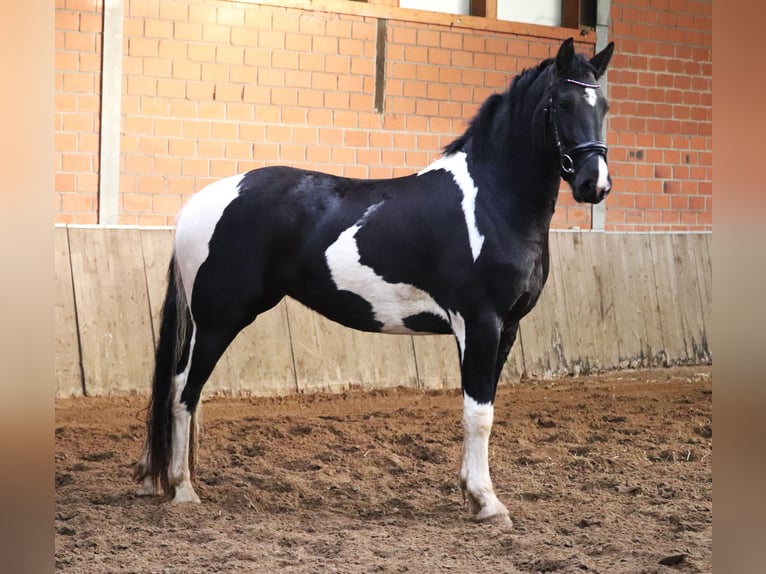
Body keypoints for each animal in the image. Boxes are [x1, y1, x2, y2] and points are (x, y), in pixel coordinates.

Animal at [135, 38, 616, 528]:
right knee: (183, 390)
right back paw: (183, 488)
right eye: (562, 102)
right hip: (218, 321)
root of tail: (199, 203)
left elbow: (483, 409)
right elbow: (478, 413)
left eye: (604, 106)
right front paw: (488, 502)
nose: (594, 184)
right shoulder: (480, 323)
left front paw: (473, 493)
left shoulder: (508, 328)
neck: (493, 202)